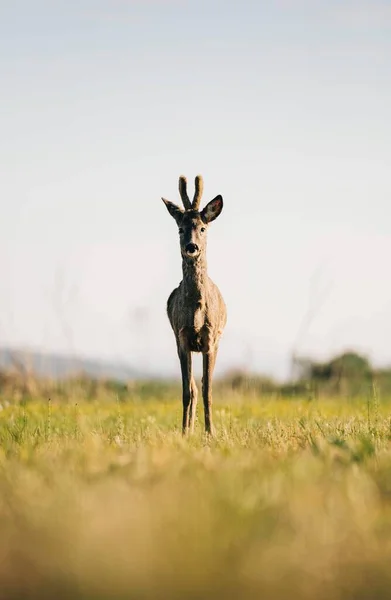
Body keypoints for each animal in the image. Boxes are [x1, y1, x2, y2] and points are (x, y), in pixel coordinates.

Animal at [162, 176, 227, 434]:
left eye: (202, 228)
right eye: (180, 228)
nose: (192, 247)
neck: (197, 312)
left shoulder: (209, 340)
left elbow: (208, 390)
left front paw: (211, 433)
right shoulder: (182, 337)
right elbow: (186, 393)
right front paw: (184, 432)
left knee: (200, 386)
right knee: (192, 388)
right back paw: (189, 429)